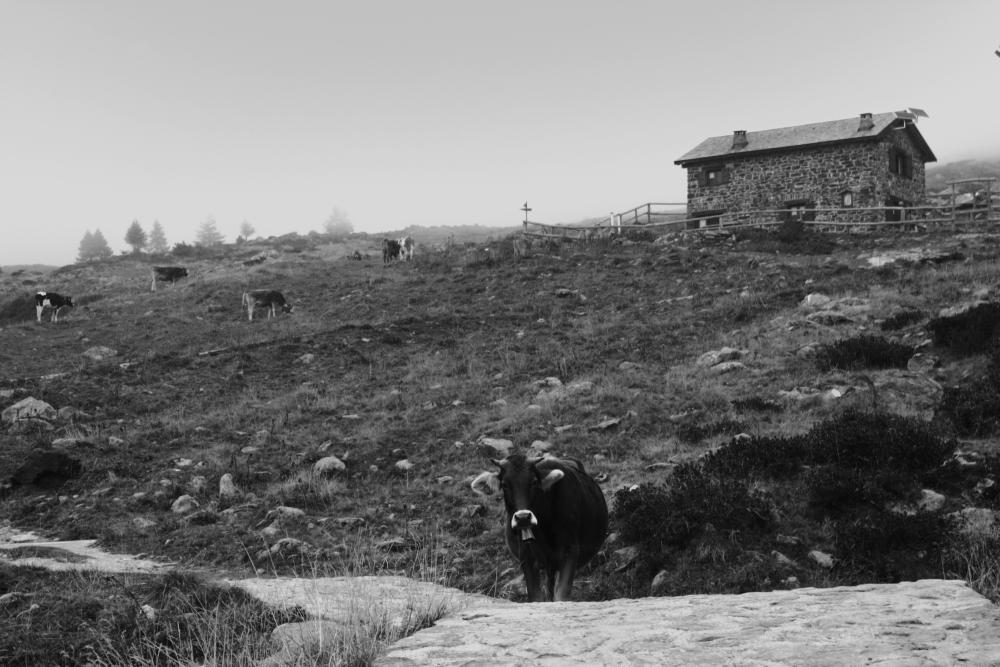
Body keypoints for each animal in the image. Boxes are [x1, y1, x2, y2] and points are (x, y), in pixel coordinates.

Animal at [474, 452, 608, 604]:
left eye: (534, 482)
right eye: (504, 484)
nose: (523, 517)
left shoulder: (570, 552)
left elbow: (561, 595)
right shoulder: (527, 557)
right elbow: (536, 597)